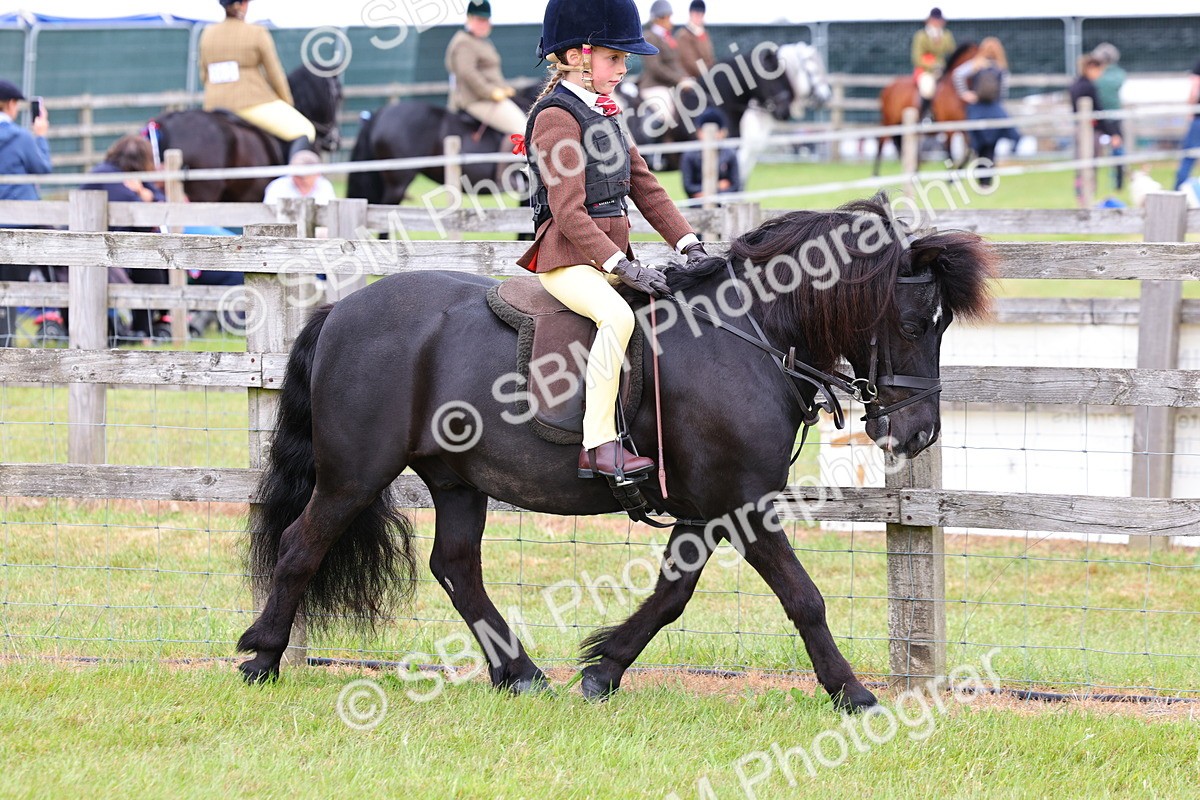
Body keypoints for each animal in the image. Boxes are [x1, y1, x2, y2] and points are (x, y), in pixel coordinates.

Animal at [234, 193, 994, 711]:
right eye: (913, 323)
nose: (917, 434)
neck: (746, 334)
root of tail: (342, 310)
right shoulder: (745, 505)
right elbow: (804, 598)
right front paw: (852, 692)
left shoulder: (708, 509)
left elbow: (671, 594)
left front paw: (603, 668)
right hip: (354, 474)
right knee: (302, 545)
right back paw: (260, 658)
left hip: (457, 481)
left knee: (455, 569)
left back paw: (521, 674)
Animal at [873, 42, 977, 177]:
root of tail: (889, 87)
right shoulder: (948, 126)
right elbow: (950, 153)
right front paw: (951, 176)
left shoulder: (964, 126)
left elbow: (969, 149)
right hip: (889, 120)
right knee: (882, 141)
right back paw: (876, 173)